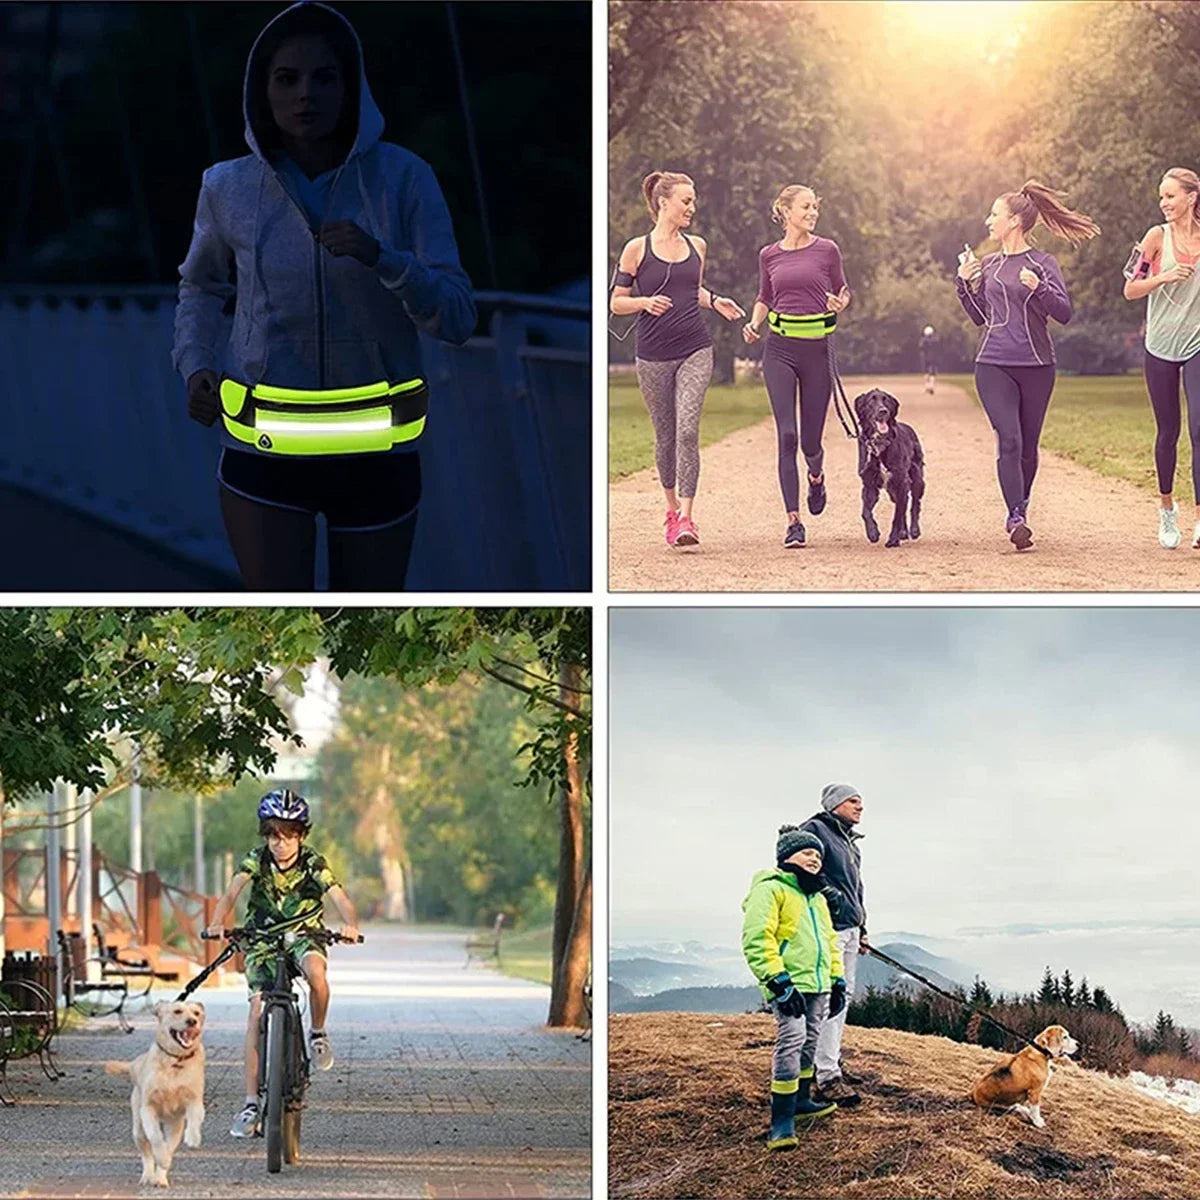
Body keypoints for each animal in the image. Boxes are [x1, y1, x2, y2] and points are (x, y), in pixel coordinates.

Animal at [106, 998, 207, 1185]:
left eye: (196, 1013)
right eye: (177, 1011)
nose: (192, 1021)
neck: (175, 1062)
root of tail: (136, 1064)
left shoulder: (194, 1100)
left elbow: (194, 1120)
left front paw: (193, 1137)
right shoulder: (148, 1108)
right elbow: (155, 1138)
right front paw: (161, 1156)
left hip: (174, 1125)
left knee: (170, 1145)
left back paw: (160, 1178)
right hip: (138, 1129)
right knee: (147, 1153)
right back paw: (149, 1175)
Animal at [854, 388, 926, 549]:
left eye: (885, 400)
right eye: (871, 400)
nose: (883, 411)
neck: (879, 444)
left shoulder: (901, 481)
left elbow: (897, 515)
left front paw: (893, 539)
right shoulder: (869, 483)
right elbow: (865, 511)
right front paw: (873, 533)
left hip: (916, 478)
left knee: (914, 504)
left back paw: (914, 530)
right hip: (892, 489)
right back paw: (903, 532)